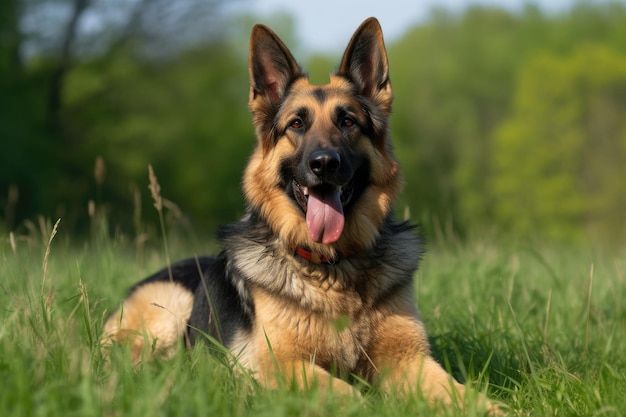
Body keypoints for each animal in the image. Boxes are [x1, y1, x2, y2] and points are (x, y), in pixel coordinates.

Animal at [103, 16, 502, 412]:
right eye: (297, 124)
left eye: (348, 122)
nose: (324, 163)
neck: (333, 266)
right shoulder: (282, 364)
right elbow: (350, 396)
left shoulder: (410, 359)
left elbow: (462, 394)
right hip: (170, 311)